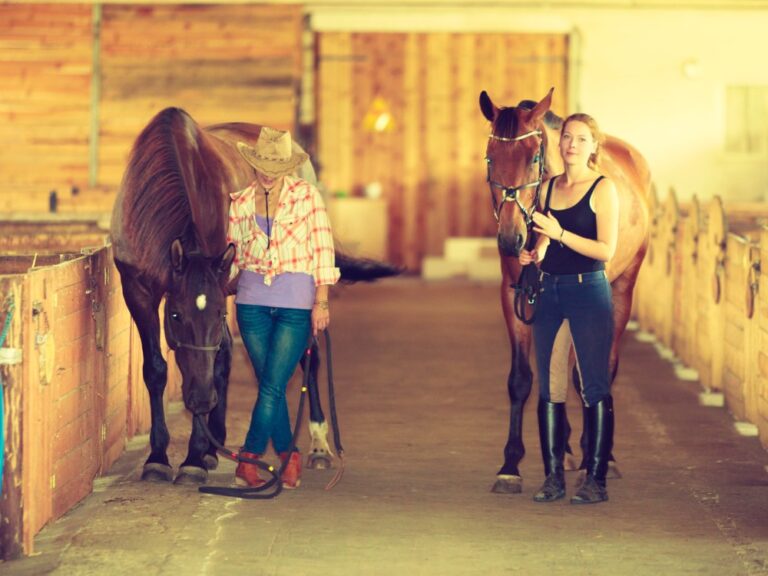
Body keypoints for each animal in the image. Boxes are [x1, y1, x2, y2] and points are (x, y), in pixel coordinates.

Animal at [111, 109, 400, 486]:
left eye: (218, 314)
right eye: (174, 316)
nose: (200, 400)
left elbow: (212, 362)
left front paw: (192, 459)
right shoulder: (137, 290)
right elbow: (157, 370)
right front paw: (159, 457)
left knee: (308, 359)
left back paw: (318, 446)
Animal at [480, 88, 648, 492]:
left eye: (534, 158)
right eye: (491, 157)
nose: (510, 238)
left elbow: (582, 374)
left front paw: (593, 458)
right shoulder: (514, 296)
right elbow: (523, 379)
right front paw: (510, 466)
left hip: (622, 290)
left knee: (600, 367)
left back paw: (600, 456)